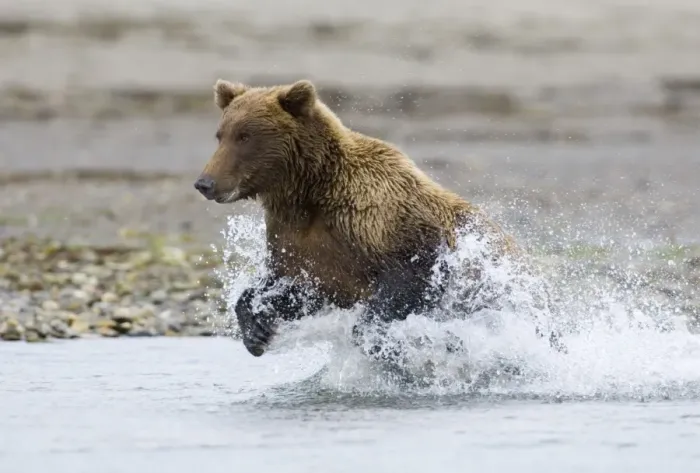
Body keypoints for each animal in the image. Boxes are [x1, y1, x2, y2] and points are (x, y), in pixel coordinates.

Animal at [194, 79, 564, 364]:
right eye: (220, 134)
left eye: (245, 136)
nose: (205, 183)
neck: (309, 192)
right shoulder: (298, 240)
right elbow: (296, 286)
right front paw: (256, 329)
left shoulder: (379, 218)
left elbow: (410, 277)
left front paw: (373, 334)